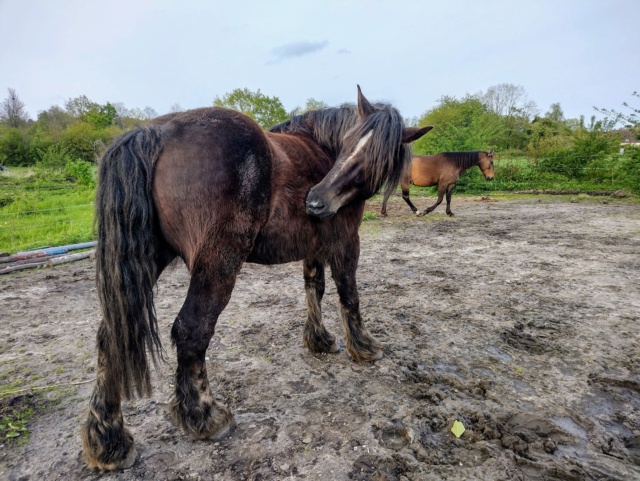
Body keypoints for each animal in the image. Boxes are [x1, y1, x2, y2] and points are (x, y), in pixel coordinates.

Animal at [80, 87, 430, 468]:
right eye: (350, 143)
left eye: (375, 156)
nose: (315, 202)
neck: (321, 149)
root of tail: (156, 131)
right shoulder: (346, 241)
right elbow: (348, 293)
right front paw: (364, 347)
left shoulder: (313, 246)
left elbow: (314, 287)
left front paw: (319, 340)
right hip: (218, 264)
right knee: (191, 331)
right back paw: (205, 416)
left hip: (147, 263)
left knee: (112, 337)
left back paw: (108, 440)